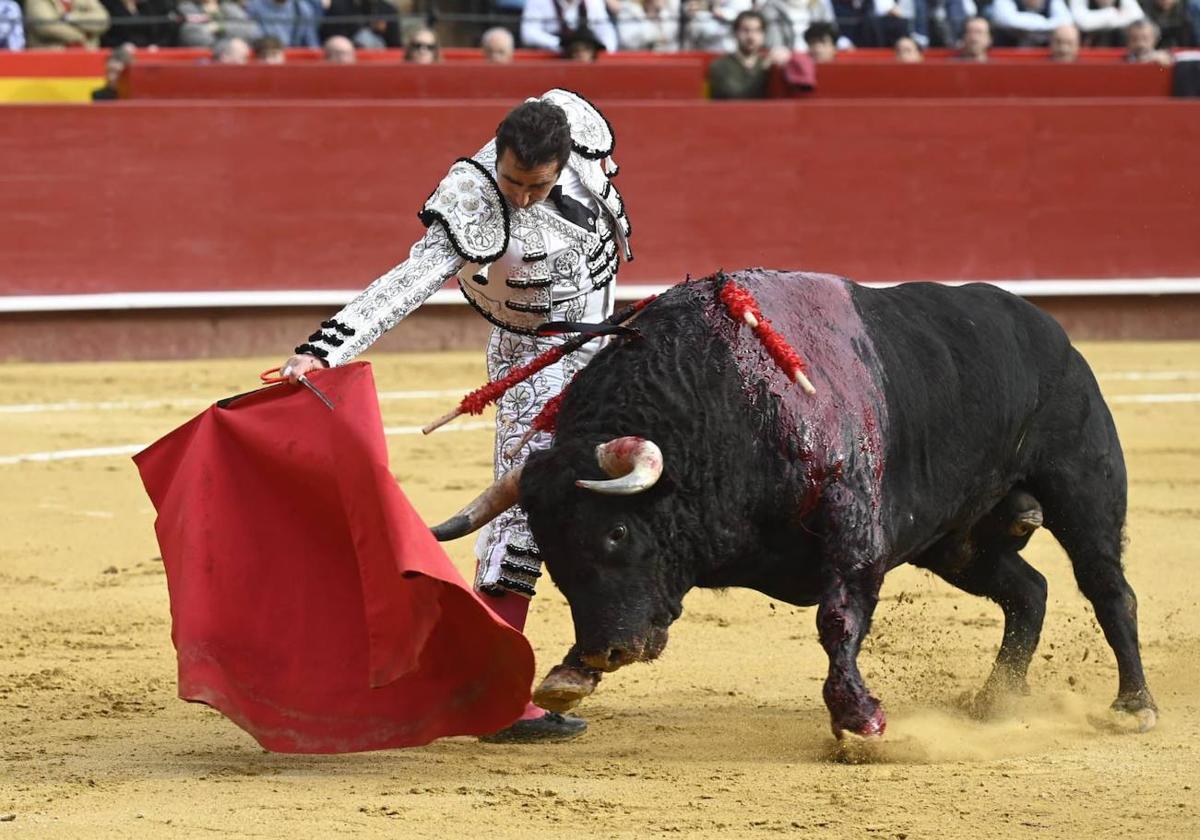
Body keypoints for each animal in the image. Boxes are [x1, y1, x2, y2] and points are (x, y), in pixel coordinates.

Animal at [432, 271, 1152, 739]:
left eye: (615, 536)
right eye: (551, 551)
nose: (606, 651)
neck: (719, 404)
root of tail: (1049, 330)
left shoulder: (853, 534)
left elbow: (837, 621)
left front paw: (858, 721)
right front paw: (566, 676)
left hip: (1082, 485)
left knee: (1107, 587)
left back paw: (1134, 704)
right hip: (958, 541)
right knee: (1028, 590)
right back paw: (993, 702)